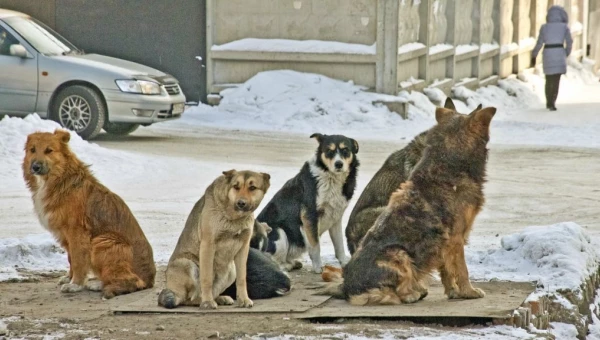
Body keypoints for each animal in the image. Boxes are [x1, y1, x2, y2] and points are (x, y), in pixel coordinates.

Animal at [22, 129, 156, 298]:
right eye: (32, 150)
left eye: (49, 150)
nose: (35, 167)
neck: (60, 180)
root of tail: (150, 280)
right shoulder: (66, 236)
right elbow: (71, 259)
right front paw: (70, 278)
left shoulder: (77, 232)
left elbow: (78, 260)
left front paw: (75, 284)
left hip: (104, 240)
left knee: (132, 281)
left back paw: (101, 284)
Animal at [159, 169, 272, 308]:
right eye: (236, 186)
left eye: (252, 188)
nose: (241, 203)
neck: (234, 218)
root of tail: (174, 292)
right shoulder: (208, 245)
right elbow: (206, 278)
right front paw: (207, 302)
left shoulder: (243, 249)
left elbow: (242, 279)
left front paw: (243, 299)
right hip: (187, 264)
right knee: (190, 298)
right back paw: (205, 301)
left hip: (231, 270)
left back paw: (219, 298)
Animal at [255, 133, 358, 274]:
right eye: (329, 151)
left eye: (345, 150)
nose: (338, 164)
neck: (330, 177)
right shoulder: (309, 216)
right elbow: (315, 245)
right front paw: (318, 267)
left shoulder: (335, 218)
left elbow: (339, 245)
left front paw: (344, 263)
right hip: (279, 233)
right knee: (273, 260)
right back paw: (287, 266)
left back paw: (293, 263)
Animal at [324, 106, 496, 306]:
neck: (448, 163)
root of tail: (346, 286)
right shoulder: (456, 238)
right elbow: (461, 270)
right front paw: (468, 291)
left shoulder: (444, 242)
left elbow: (446, 270)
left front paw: (453, 291)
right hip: (399, 254)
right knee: (390, 293)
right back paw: (412, 293)